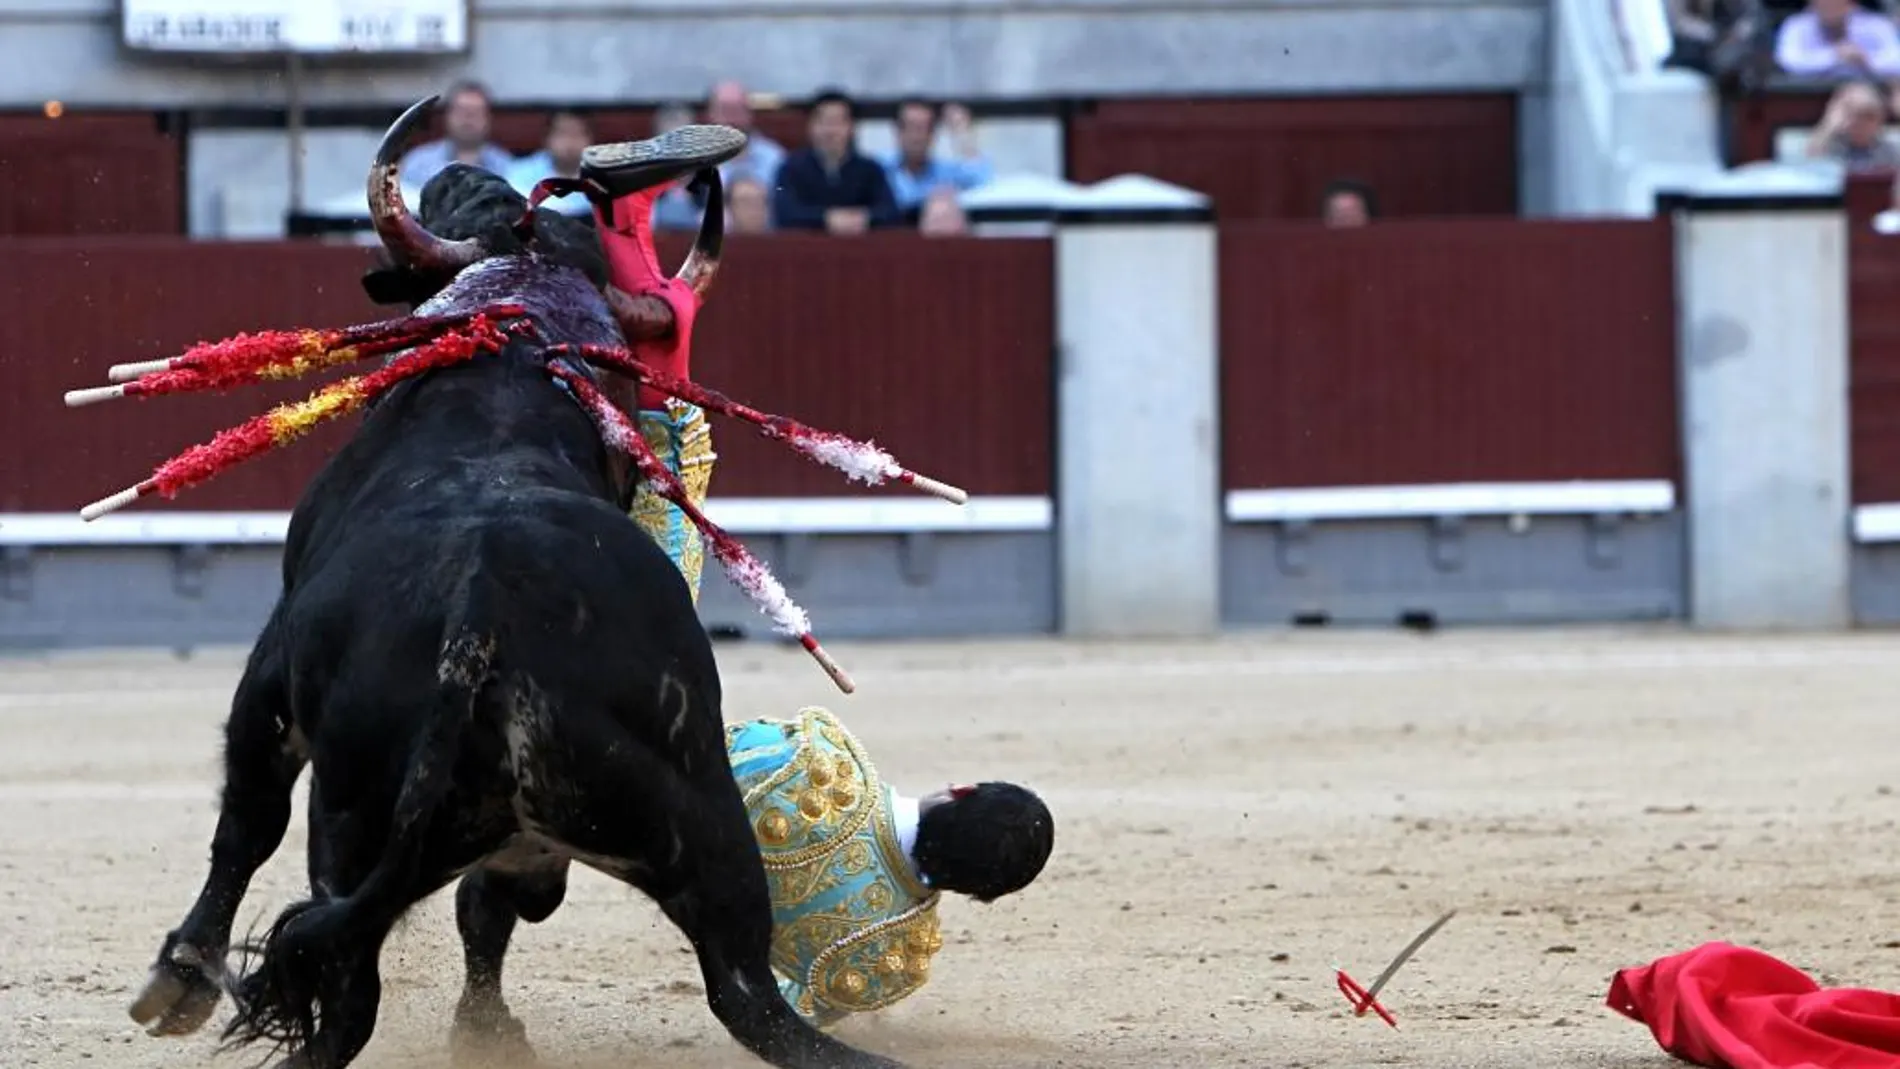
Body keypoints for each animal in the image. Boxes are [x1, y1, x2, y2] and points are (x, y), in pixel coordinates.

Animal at [126, 102, 904, 1069]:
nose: (464, 168)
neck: (516, 364)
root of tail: (483, 624)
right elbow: (491, 905)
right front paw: (486, 1026)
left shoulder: (269, 677)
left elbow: (245, 817)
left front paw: (180, 976)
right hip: (703, 828)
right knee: (750, 997)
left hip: (349, 824)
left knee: (344, 996)